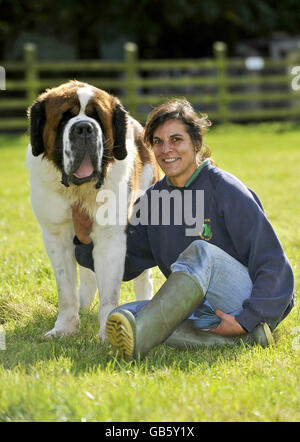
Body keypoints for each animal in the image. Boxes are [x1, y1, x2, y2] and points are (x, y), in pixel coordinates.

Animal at [26, 79, 159, 342]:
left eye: (97, 117)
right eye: (65, 118)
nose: (85, 128)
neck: (79, 190)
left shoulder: (111, 237)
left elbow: (109, 292)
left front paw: (109, 332)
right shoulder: (56, 235)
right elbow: (65, 289)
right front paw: (65, 327)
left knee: (143, 277)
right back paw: (84, 303)